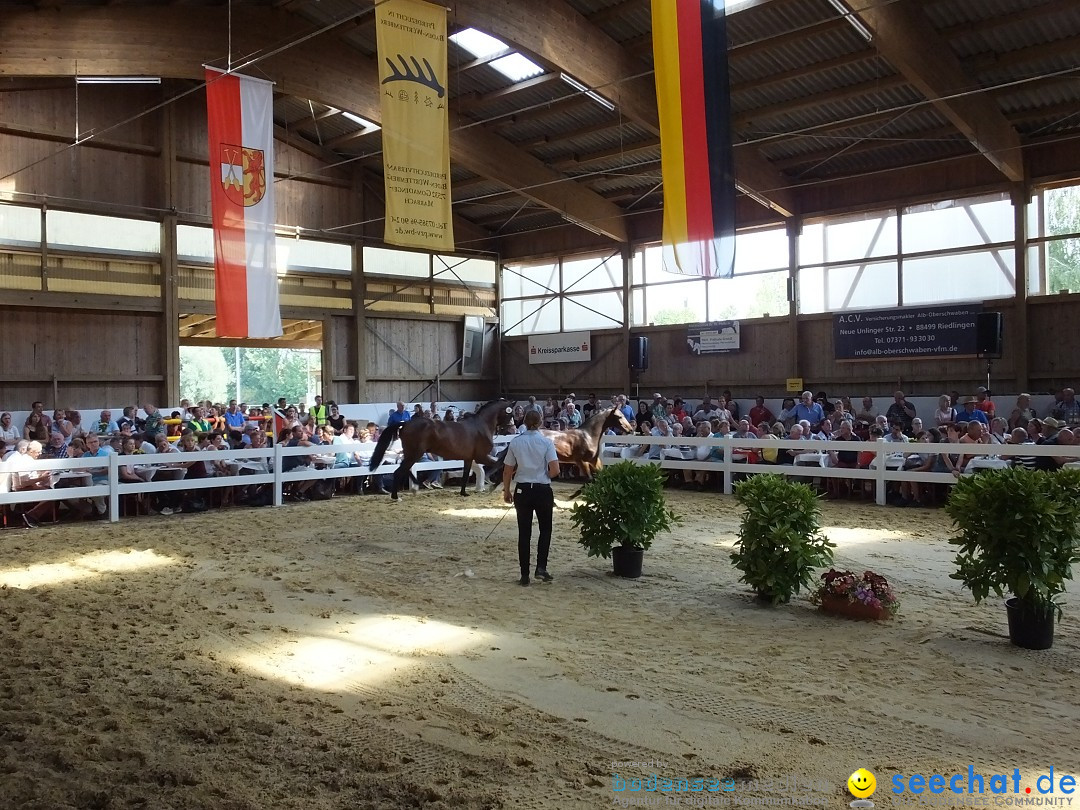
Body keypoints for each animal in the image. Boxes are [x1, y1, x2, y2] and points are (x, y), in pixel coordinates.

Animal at [367, 399, 514, 501]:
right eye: (510, 413)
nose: (511, 427)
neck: (481, 426)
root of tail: (406, 423)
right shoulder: (481, 456)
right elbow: (500, 465)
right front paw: (493, 485)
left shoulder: (468, 458)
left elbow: (466, 474)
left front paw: (463, 493)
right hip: (415, 454)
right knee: (398, 472)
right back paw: (397, 497)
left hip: (410, 454)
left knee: (404, 468)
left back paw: (414, 487)